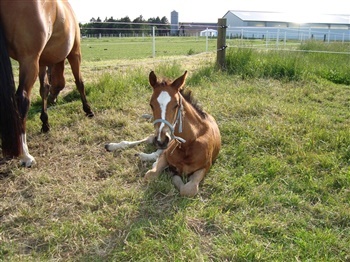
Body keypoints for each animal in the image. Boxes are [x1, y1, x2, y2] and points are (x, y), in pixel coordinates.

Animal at [0, 0, 93, 167]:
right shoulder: (75, 53)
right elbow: (79, 82)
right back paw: (25, 155)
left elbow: (44, 88)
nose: (53, 100)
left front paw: (45, 123)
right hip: (29, 60)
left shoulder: (42, 62)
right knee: (22, 99)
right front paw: (88, 110)